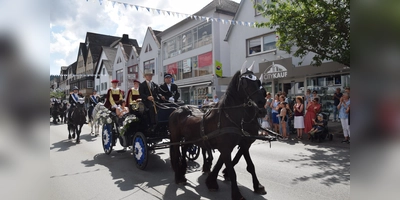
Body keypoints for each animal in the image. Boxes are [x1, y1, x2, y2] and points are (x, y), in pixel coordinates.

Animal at [168, 64, 266, 200]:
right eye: (245, 82)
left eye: (258, 82)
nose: (262, 102)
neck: (229, 117)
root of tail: (178, 109)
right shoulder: (227, 148)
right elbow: (232, 170)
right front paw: (236, 194)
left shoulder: (241, 144)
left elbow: (247, 165)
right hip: (176, 138)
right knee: (177, 153)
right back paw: (179, 176)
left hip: (189, 138)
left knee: (184, 151)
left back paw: (183, 173)